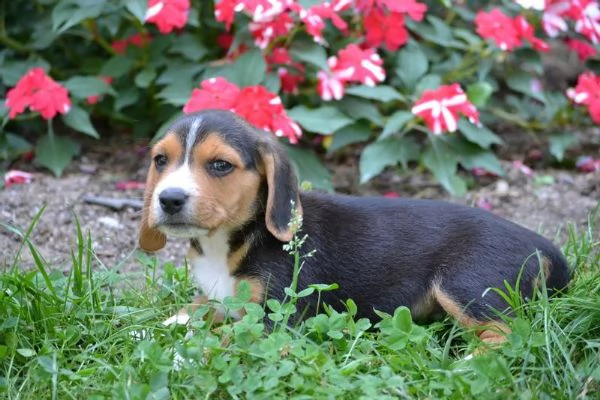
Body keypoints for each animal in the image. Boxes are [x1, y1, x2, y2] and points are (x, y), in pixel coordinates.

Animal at [138, 109, 568, 344]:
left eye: (220, 165)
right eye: (160, 160)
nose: (169, 199)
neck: (230, 240)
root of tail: (545, 246)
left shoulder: (277, 318)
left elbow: (221, 338)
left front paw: (180, 354)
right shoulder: (217, 299)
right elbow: (187, 311)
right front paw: (144, 331)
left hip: (465, 284)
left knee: (511, 333)